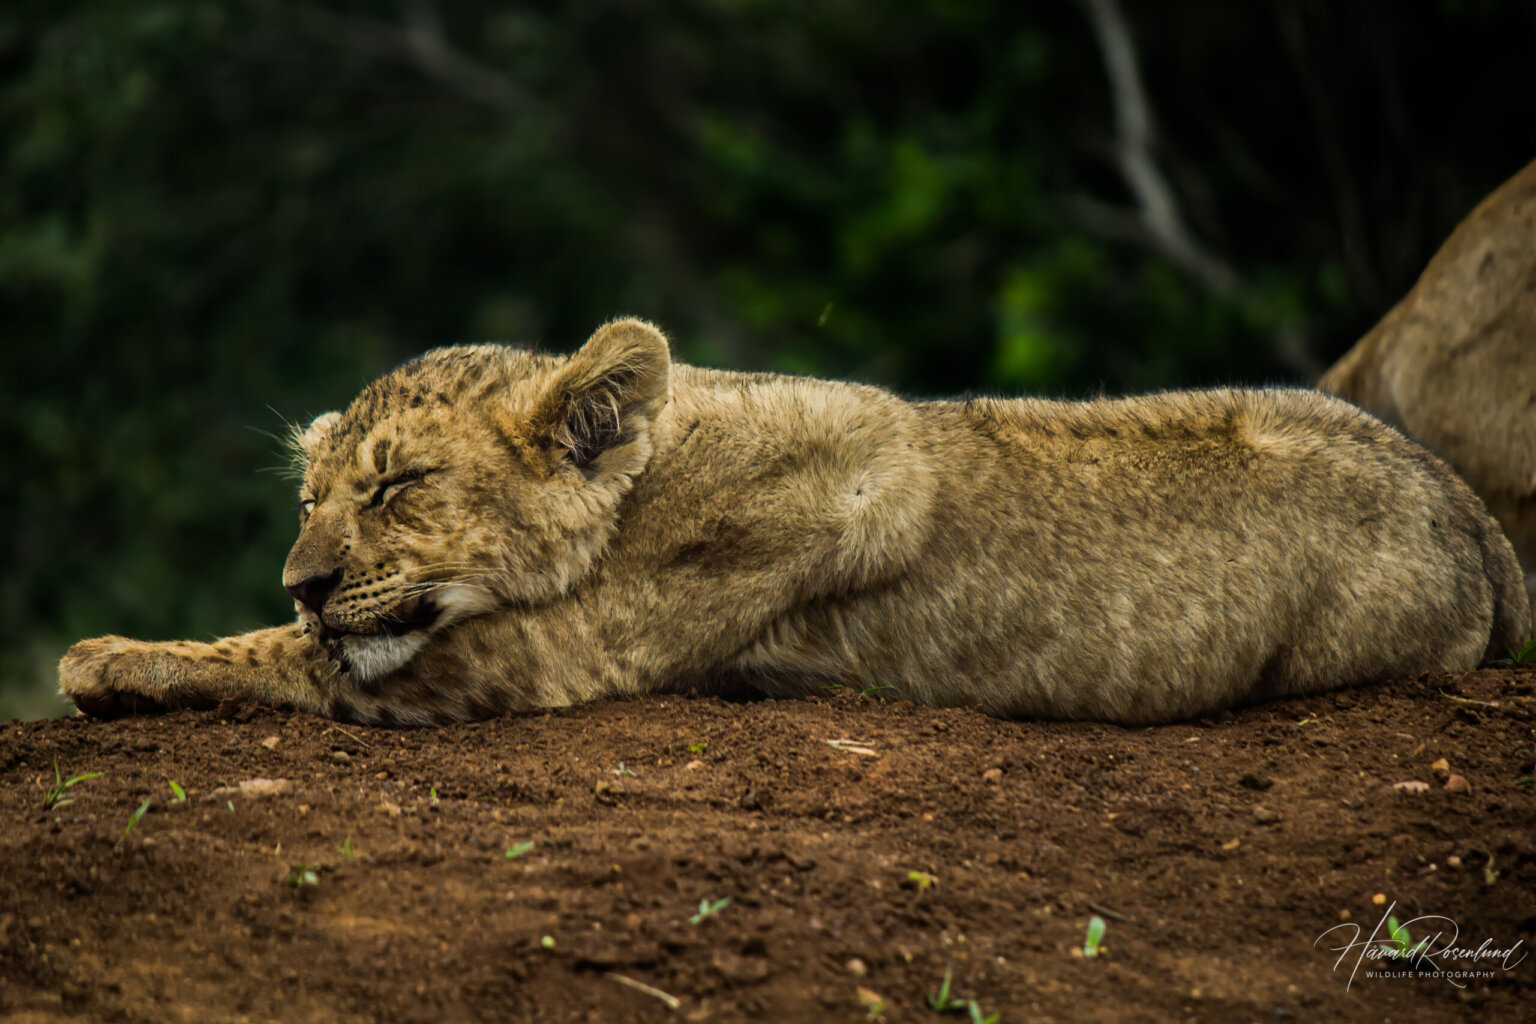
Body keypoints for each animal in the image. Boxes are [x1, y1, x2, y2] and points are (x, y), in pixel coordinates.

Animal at [60, 318, 1530, 726]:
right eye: (311, 497)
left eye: (396, 487)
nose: (302, 577)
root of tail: (1468, 506)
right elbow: (300, 652)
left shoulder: (553, 657)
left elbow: (289, 660)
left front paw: (106, 658)